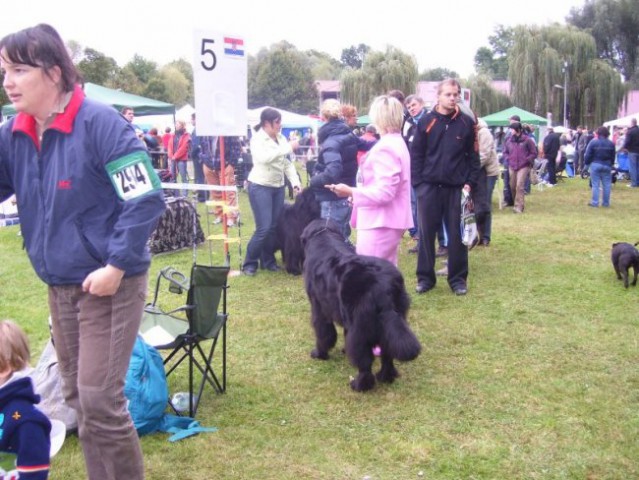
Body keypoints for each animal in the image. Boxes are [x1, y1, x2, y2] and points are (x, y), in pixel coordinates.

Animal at [302, 219, 422, 392]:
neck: (324, 236)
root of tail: (383, 287)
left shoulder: (319, 308)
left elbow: (324, 333)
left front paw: (319, 353)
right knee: (387, 354)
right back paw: (386, 376)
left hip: (360, 327)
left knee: (364, 362)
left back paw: (359, 385)